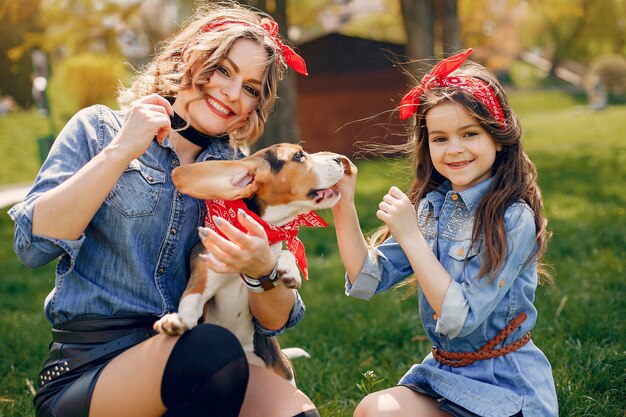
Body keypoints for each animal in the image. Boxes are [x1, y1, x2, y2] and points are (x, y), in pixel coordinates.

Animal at [152, 143, 352, 384]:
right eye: (298, 156)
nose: (339, 159)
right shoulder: (202, 277)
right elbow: (190, 300)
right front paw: (177, 321)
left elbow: (285, 254)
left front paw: (289, 269)